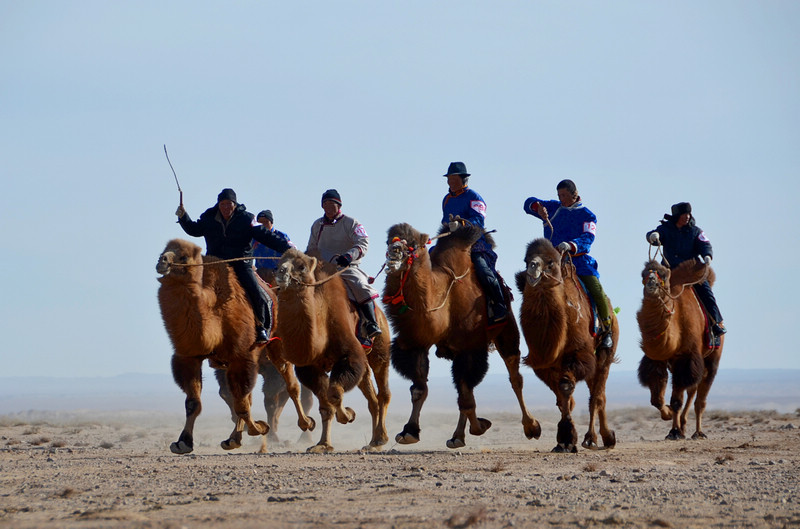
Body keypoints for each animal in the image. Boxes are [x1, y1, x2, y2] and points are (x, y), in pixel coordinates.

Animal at [155, 239, 314, 454]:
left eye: (183, 257)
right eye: (164, 251)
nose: (161, 261)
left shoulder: (242, 356)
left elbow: (243, 402)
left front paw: (258, 428)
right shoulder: (190, 357)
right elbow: (194, 402)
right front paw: (183, 442)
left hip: (276, 345)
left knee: (290, 384)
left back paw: (305, 423)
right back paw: (235, 438)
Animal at [272, 250, 390, 452]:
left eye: (301, 266)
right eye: (280, 262)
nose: (281, 272)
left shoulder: (351, 355)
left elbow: (334, 392)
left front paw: (348, 415)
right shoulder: (310, 367)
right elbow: (326, 404)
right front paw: (322, 445)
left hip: (380, 348)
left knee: (383, 392)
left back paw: (381, 439)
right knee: (371, 397)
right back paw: (373, 442)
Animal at [384, 221, 540, 448]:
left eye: (412, 245)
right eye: (388, 241)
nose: (393, 254)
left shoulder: (470, 347)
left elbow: (466, 399)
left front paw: (480, 426)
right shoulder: (416, 344)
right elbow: (420, 390)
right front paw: (409, 431)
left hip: (507, 331)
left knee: (514, 378)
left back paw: (531, 426)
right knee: (465, 388)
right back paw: (457, 436)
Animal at [516, 237, 616, 452]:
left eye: (551, 262)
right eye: (526, 260)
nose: (533, 267)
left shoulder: (580, 355)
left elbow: (565, 387)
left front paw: (568, 438)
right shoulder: (544, 365)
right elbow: (561, 398)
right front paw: (563, 440)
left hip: (605, 356)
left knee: (597, 396)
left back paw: (594, 438)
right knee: (597, 394)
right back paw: (605, 437)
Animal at [636, 258, 724, 438]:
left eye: (663, 274)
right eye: (643, 274)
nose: (651, 282)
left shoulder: (686, 358)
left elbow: (676, 400)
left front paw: (674, 432)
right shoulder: (657, 360)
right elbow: (657, 399)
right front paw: (669, 416)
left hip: (712, 359)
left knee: (700, 400)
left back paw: (698, 432)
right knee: (691, 390)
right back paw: (684, 425)